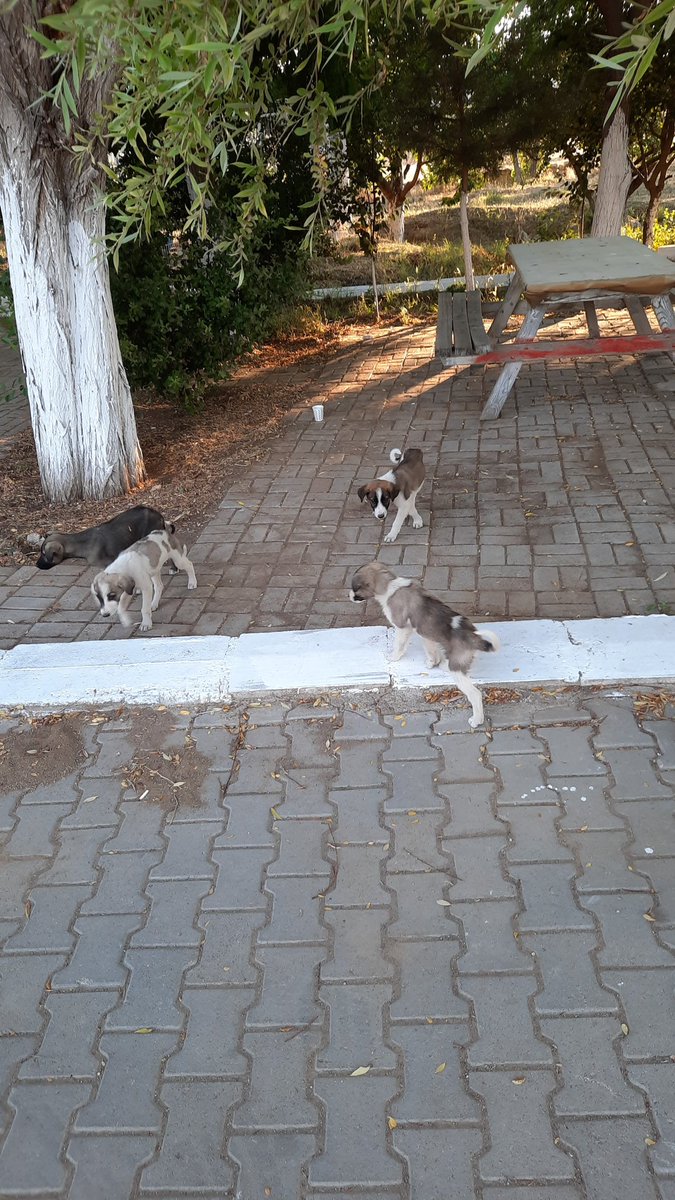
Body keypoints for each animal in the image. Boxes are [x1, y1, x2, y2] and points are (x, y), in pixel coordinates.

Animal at [348, 561, 497, 729]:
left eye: (355, 588)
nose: (348, 595)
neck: (390, 585)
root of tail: (473, 636)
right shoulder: (426, 634)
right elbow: (431, 650)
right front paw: (432, 662)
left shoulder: (402, 627)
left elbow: (399, 645)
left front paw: (393, 657)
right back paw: (444, 664)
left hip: (458, 672)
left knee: (475, 694)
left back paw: (476, 720)